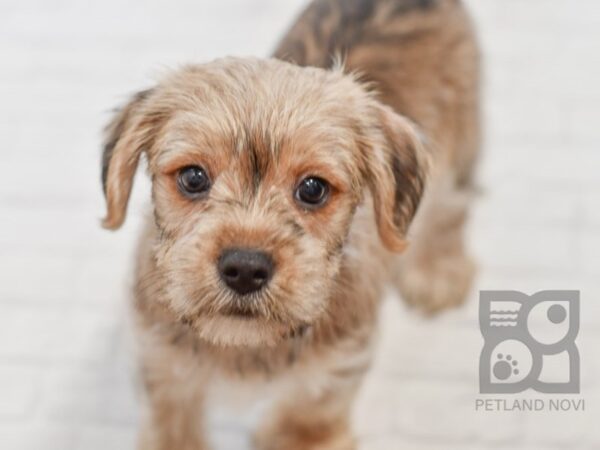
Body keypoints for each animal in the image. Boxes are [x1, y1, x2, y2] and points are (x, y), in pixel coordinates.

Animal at [102, 0, 478, 450]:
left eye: (313, 189)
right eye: (193, 178)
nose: (245, 268)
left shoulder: (340, 362)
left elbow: (311, 411)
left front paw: (299, 435)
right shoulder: (160, 361)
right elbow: (170, 420)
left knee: (449, 209)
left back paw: (437, 271)